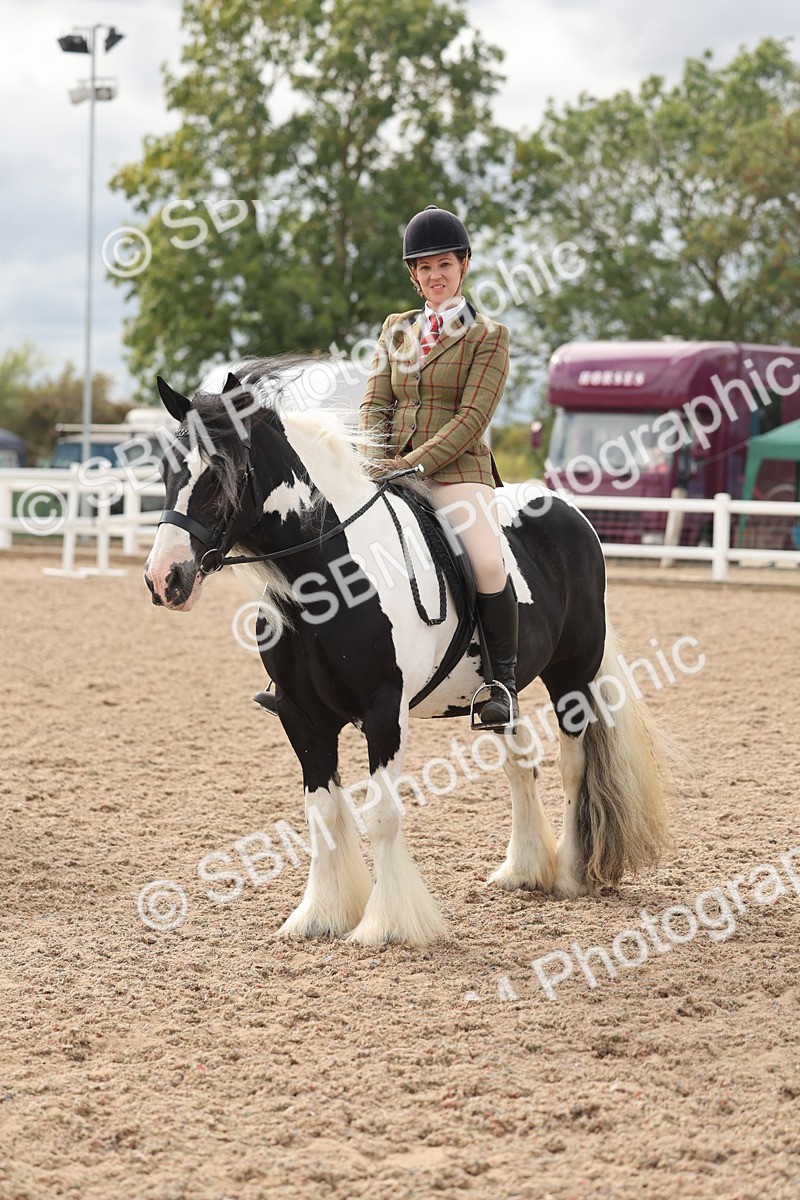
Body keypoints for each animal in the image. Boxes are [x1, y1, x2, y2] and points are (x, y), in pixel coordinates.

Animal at [143, 359, 674, 947]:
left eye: (218, 474)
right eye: (166, 470)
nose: (164, 579)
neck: (328, 580)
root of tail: (570, 512)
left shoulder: (383, 713)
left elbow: (382, 816)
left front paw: (387, 923)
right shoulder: (301, 717)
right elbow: (321, 813)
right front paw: (320, 915)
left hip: (573, 677)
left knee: (572, 766)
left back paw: (572, 875)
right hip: (501, 696)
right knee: (521, 764)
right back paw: (522, 871)